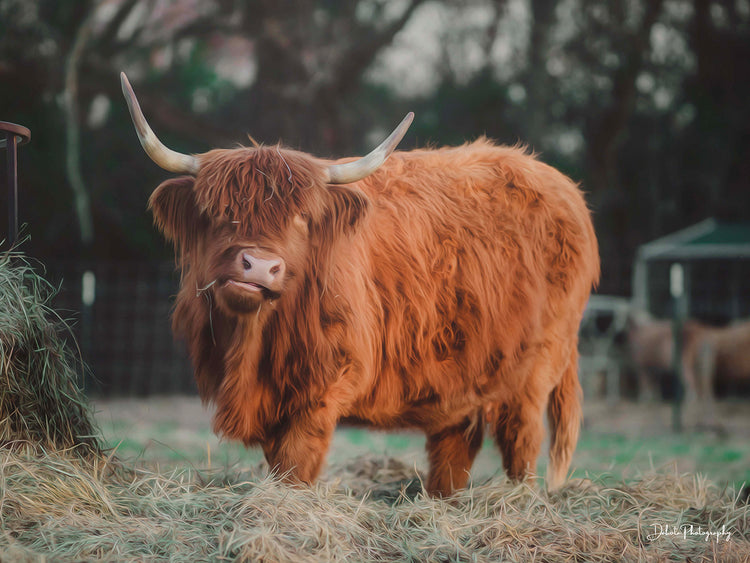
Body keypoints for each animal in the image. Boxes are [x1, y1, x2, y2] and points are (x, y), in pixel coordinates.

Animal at [121, 72, 599, 496]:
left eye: (302, 218)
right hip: (462, 374)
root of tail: (563, 187)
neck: (252, 347)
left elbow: (295, 464)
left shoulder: (324, 383)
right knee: (455, 444)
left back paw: (519, 501)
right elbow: (277, 463)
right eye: (220, 212)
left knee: (522, 440)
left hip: (536, 368)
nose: (259, 267)